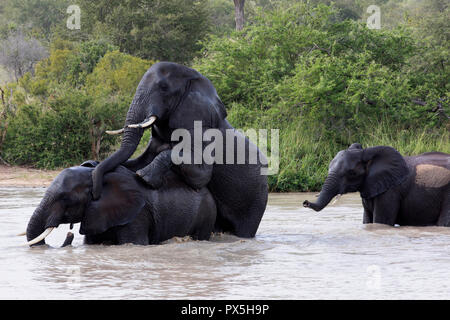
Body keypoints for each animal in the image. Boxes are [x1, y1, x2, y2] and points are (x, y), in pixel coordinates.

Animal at [91, 62, 268, 238]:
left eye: (163, 88)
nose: (95, 194)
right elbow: (139, 161)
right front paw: (94, 164)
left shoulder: (201, 127)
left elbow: (201, 176)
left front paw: (144, 177)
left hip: (256, 199)